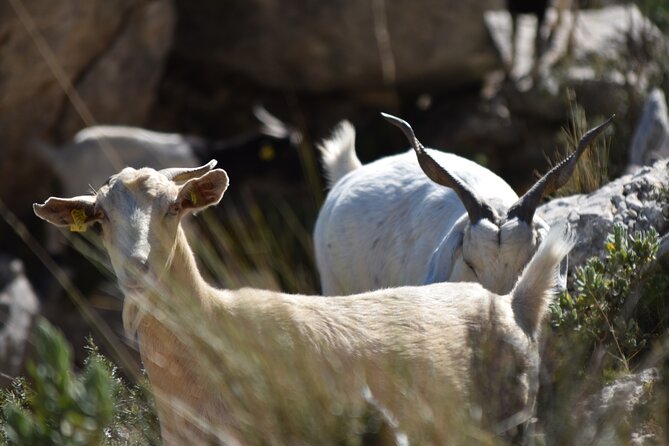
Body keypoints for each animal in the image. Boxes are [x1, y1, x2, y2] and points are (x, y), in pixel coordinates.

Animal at [34, 159, 572, 442]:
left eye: (173, 207)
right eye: (100, 217)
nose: (137, 267)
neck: (212, 327)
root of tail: (515, 303)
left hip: (509, 418)